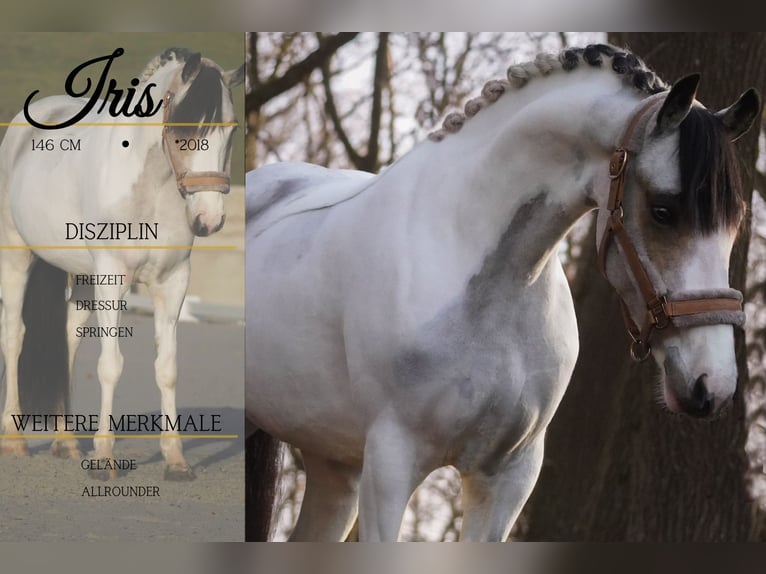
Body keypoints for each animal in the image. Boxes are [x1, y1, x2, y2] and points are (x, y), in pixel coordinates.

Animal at [0, 48, 244, 480]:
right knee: (14, 335)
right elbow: (110, 365)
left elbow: (167, 367)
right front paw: (104, 458)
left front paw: (176, 460)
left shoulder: (173, 282)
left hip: (83, 276)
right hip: (16, 256)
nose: (209, 219)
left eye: (230, 130)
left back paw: (65, 442)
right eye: (183, 127)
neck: (151, 189)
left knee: (68, 337)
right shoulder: (113, 278)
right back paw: (14, 441)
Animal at [245, 44, 761, 541]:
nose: (711, 384)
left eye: (736, 220)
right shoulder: (391, 463)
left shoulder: (510, 476)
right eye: (663, 211)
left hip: (334, 465)